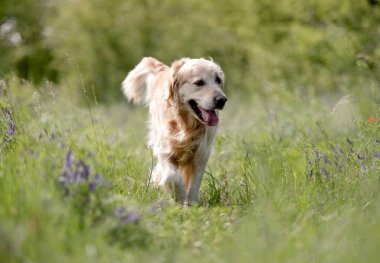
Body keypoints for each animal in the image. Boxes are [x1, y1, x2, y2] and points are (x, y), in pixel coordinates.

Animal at [123, 57, 227, 206]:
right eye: (199, 83)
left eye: (218, 80)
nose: (222, 100)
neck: (185, 126)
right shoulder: (165, 150)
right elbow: (170, 176)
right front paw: (178, 196)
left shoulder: (202, 153)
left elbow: (194, 183)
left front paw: (190, 204)